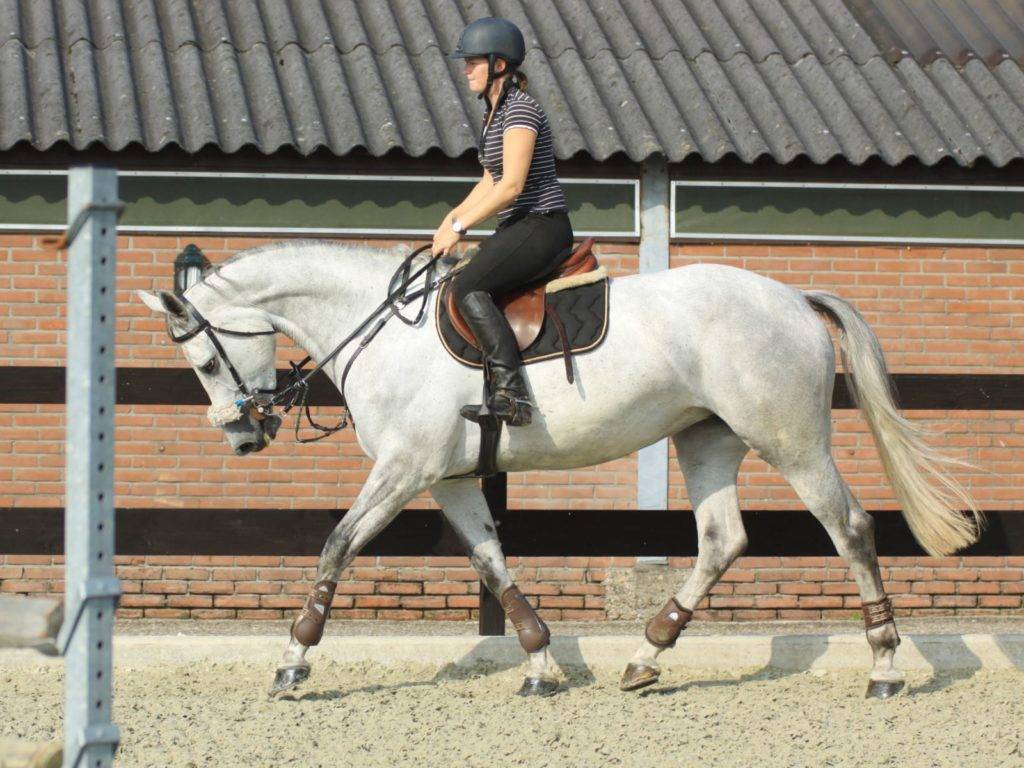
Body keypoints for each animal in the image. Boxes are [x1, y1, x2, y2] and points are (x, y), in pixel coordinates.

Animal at [138, 240, 981, 699]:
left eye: (205, 361)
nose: (244, 436)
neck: (379, 331)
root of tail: (795, 299)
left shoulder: (406, 470)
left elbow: (337, 546)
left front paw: (293, 661)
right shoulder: (448, 478)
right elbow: (491, 562)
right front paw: (542, 663)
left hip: (789, 439)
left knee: (850, 528)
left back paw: (885, 667)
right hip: (707, 440)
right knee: (721, 541)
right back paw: (644, 657)